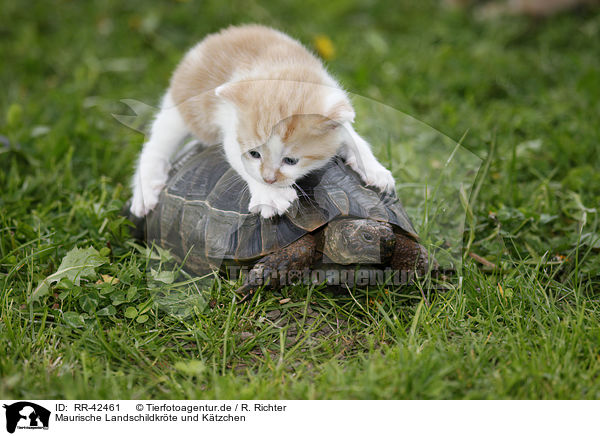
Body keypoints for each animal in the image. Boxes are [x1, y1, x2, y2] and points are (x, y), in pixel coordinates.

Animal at [131, 24, 394, 218]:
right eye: (254, 154)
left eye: (291, 160)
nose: (269, 179)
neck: (287, 73)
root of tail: (210, 40)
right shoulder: (231, 130)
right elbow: (242, 164)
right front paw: (270, 196)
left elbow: (355, 139)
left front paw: (374, 169)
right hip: (180, 108)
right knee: (155, 146)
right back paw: (145, 192)